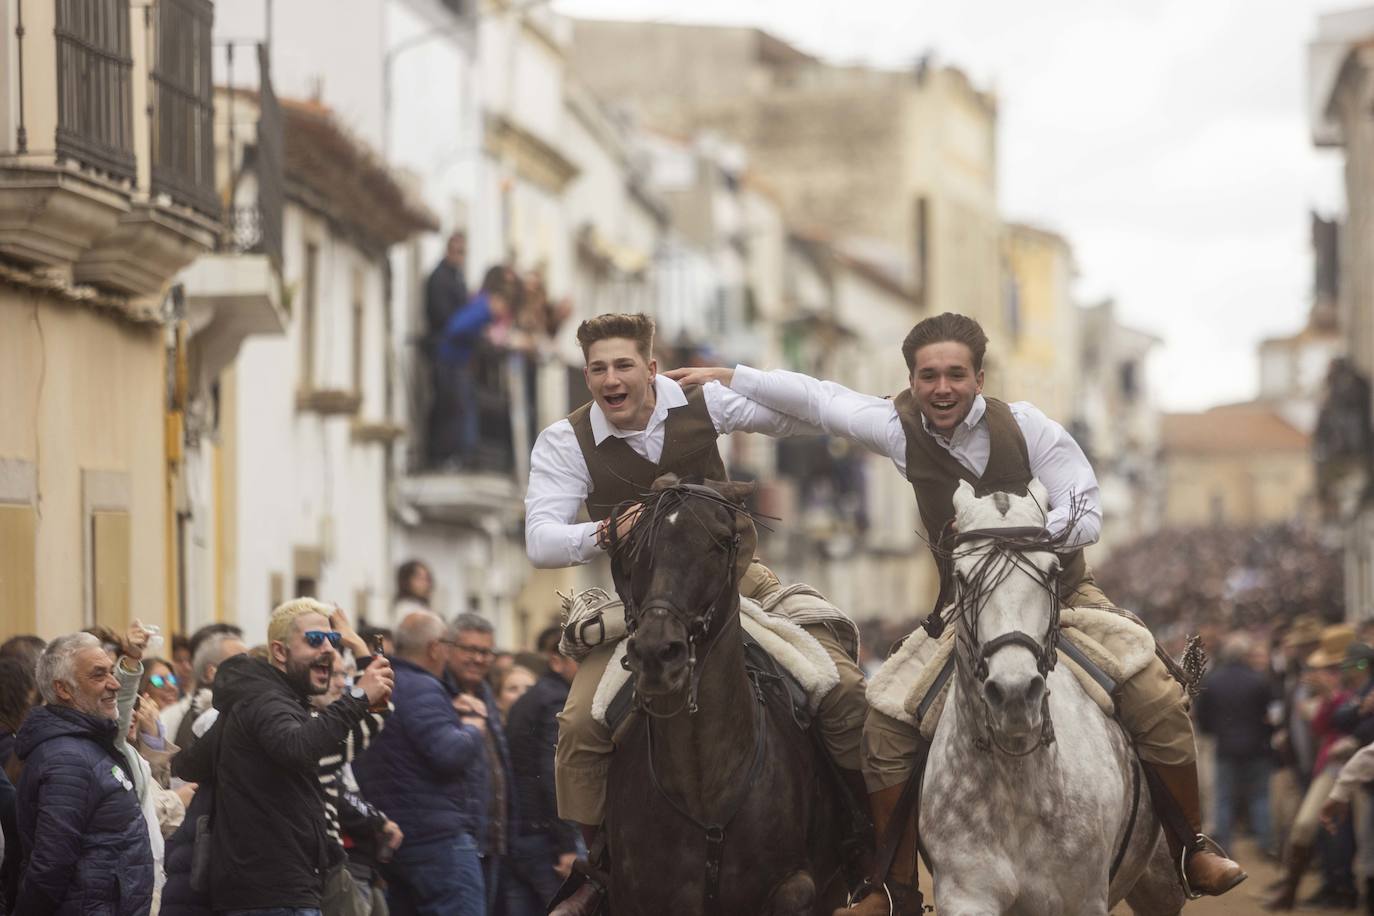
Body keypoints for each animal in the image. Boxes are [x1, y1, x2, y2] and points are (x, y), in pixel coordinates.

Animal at [604, 477, 846, 911]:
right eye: (637, 546)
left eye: (720, 541)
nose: (656, 652)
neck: (703, 785)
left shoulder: (798, 886)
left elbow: (795, 891)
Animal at [923, 483, 1192, 911]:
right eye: (962, 578)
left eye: (1051, 571)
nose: (1014, 693)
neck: (1016, 780)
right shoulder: (966, 891)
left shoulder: (1082, 898)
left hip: (1162, 884)